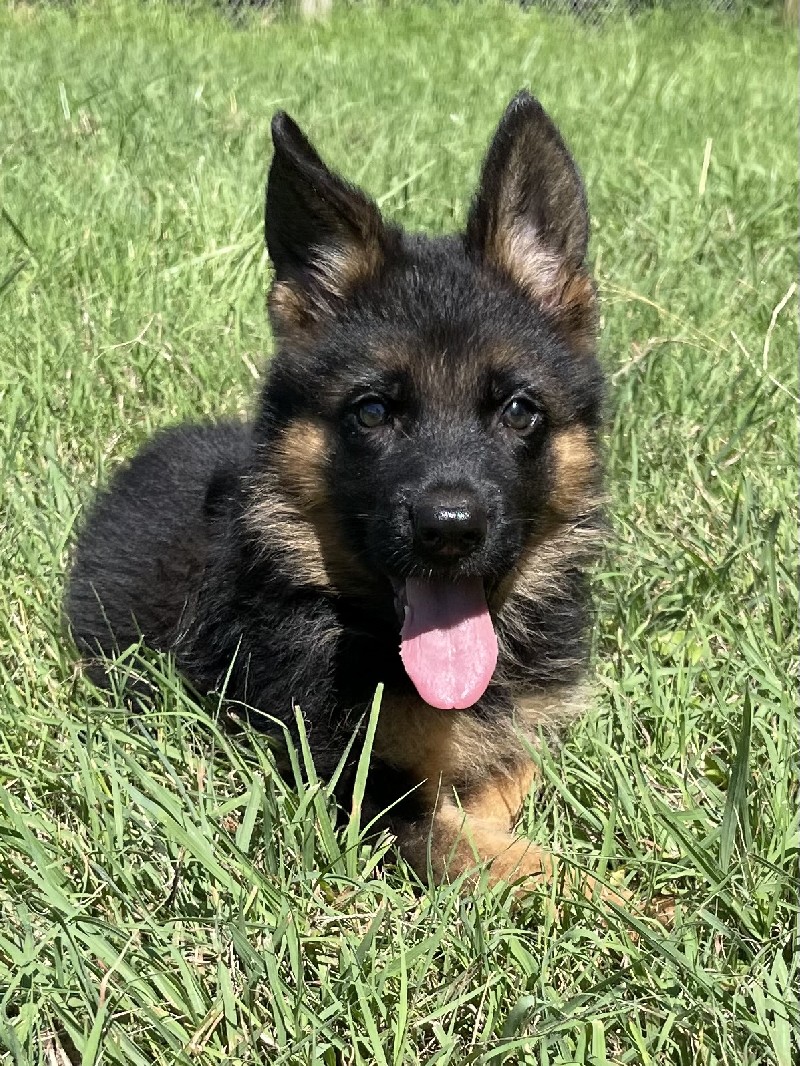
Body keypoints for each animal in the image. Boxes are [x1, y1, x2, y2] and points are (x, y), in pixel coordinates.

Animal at [68, 91, 605, 891]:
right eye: (372, 411)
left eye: (519, 410)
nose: (451, 528)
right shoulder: (349, 783)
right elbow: (500, 854)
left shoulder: (517, 734)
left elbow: (504, 779)